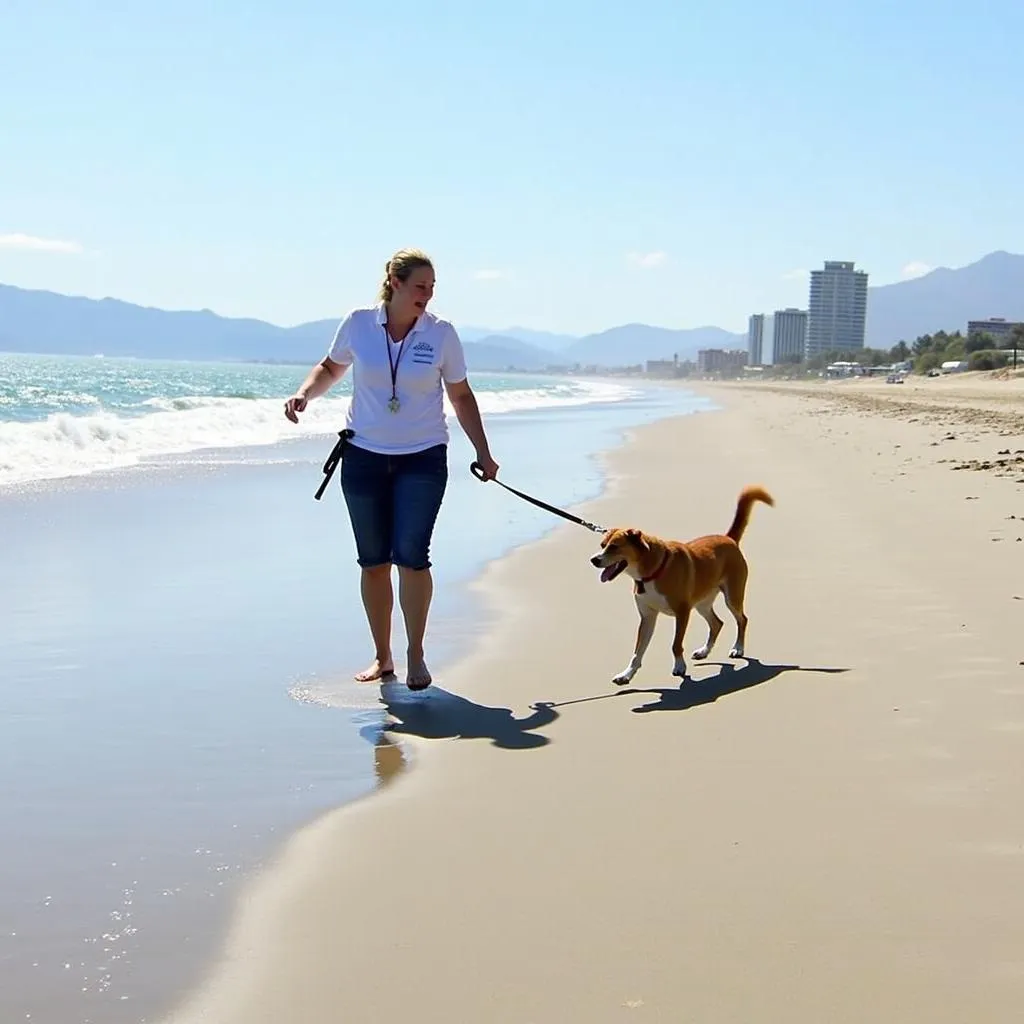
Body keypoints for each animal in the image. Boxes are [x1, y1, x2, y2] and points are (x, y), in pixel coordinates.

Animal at [589, 485, 770, 684]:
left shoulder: (682, 612)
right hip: (702, 604)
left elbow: (676, 644)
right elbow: (637, 652)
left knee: (742, 619)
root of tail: (728, 538)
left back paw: (738, 648)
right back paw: (704, 651)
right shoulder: (647, 617)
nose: (594, 560)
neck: (652, 572)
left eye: (614, 547)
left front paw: (679, 666)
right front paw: (626, 674)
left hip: (732, 597)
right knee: (717, 623)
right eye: (602, 545)